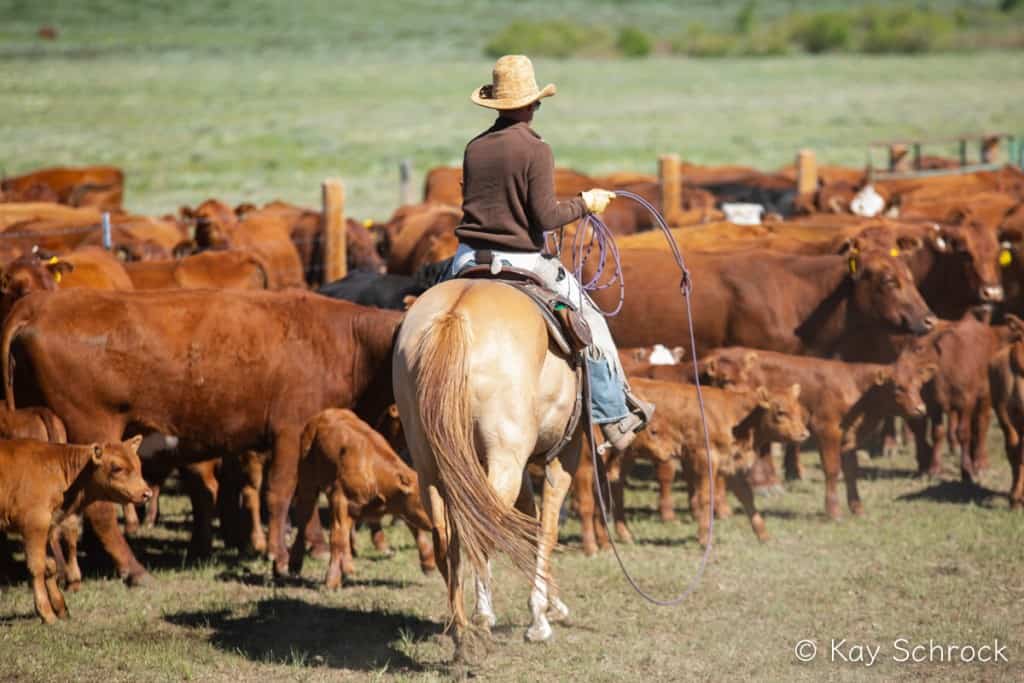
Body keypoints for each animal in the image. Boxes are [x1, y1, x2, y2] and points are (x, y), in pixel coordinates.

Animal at [0, 438, 149, 626]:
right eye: (117, 468)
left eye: (139, 465)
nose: (147, 493)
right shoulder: (34, 523)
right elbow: (37, 567)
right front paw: (46, 614)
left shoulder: (48, 527)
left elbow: (50, 565)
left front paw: (61, 608)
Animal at [3, 288, 399, 581]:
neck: (346, 342)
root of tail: (39, 303)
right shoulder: (290, 430)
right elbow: (281, 492)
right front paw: (280, 556)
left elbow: (305, 496)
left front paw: (311, 546)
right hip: (94, 434)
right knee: (100, 510)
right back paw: (134, 570)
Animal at [286, 409, 434, 589]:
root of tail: (325, 413)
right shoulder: (339, 497)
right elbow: (337, 537)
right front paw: (332, 580)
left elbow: (414, 526)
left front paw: (428, 563)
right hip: (307, 482)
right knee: (304, 519)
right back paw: (295, 564)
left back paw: (348, 565)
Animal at [391, 274, 585, 659]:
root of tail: (455, 314)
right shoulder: (562, 458)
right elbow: (546, 528)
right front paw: (540, 619)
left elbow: (529, 525)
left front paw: (549, 606)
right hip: (503, 458)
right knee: (482, 531)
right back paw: (480, 623)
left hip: (429, 462)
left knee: (446, 534)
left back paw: (462, 630)